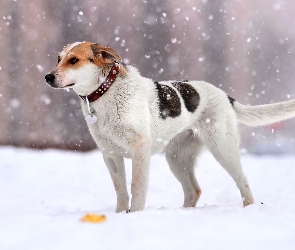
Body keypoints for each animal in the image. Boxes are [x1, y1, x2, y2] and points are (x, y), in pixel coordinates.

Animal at [45, 41, 295, 213]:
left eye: (74, 60)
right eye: (58, 58)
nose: (47, 77)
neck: (106, 91)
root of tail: (224, 95)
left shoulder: (140, 150)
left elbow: (136, 188)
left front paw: (134, 215)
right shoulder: (110, 155)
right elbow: (121, 190)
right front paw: (119, 215)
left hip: (222, 148)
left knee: (243, 182)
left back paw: (249, 207)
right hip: (176, 157)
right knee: (193, 190)